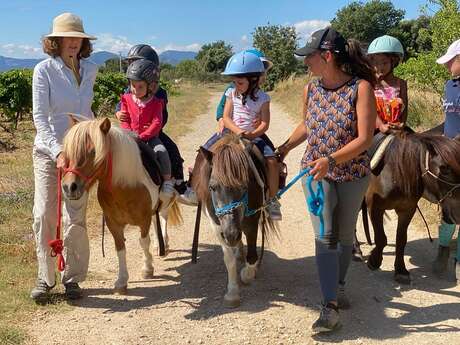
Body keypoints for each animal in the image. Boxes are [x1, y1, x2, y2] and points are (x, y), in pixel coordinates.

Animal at [60, 118, 181, 292]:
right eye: (68, 152)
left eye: (93, 152)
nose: (69, 187)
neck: (125, 187)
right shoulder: (113, 223)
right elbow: (120, 248)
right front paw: (122, 280)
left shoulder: (143, 220)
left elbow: (143, 242)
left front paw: (147, 269)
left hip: (165, 201)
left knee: (163, 216)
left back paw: (163, 243)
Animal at [191, 134, 276, 306]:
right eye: (213, 187)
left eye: (244, 186)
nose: (231, 234)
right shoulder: (217, 226)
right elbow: (229, 259)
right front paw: (232, 292)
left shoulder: (252, 221)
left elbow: (252, 256)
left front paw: (247, 274)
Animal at [366, 131, 460, 282]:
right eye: (444, 169)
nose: (457, 215)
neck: (396, 174)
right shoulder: (374, 206)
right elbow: (381, 238)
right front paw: (374, 261)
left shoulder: (407, 210)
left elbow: (401, 240)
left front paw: (400, 270)